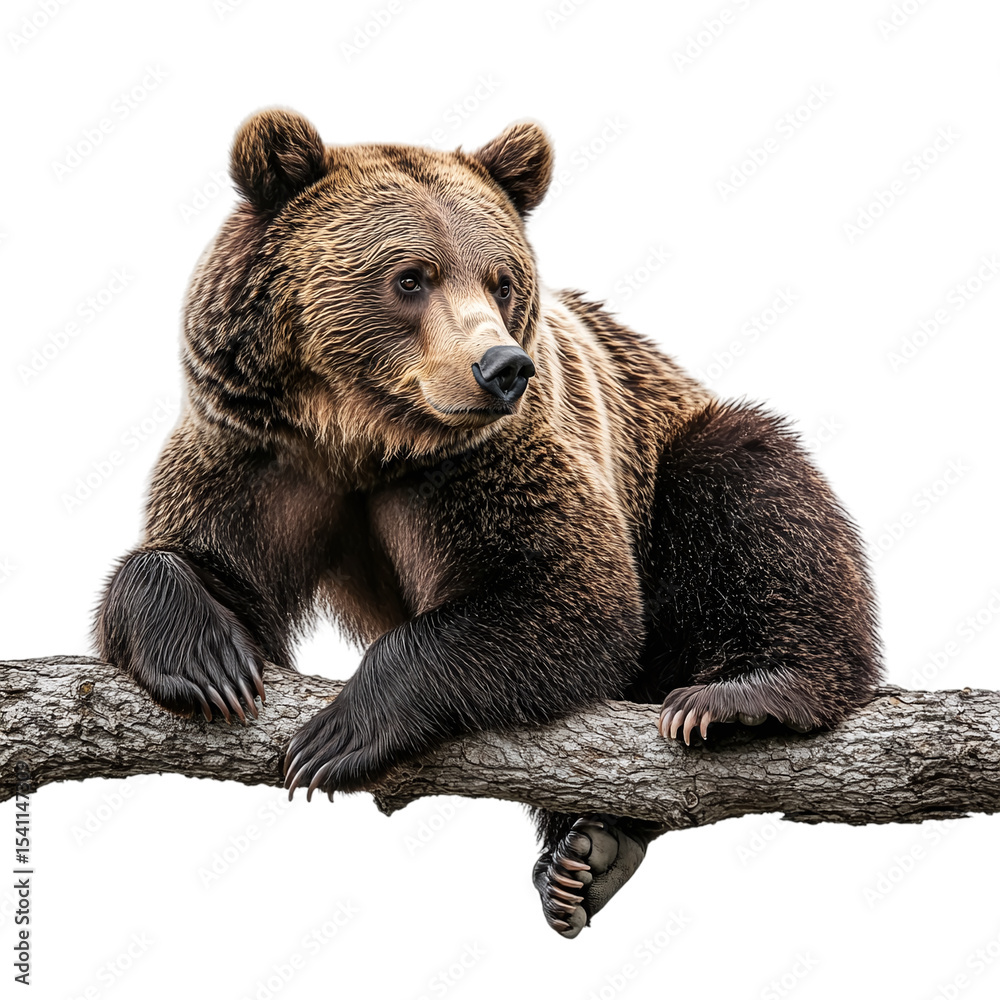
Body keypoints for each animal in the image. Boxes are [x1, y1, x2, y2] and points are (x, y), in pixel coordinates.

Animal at [94, 108, 882, 939]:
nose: (502, 367)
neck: (361, 437)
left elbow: (567, 598)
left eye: (501, 281)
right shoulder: (257, 455)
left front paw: (339, 732)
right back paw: (585, 856)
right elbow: (207, 564)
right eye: (411, 277)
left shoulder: (489, 465)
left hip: (668, 453)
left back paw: (741, 700)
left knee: (749, 488)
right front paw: (207, 657)